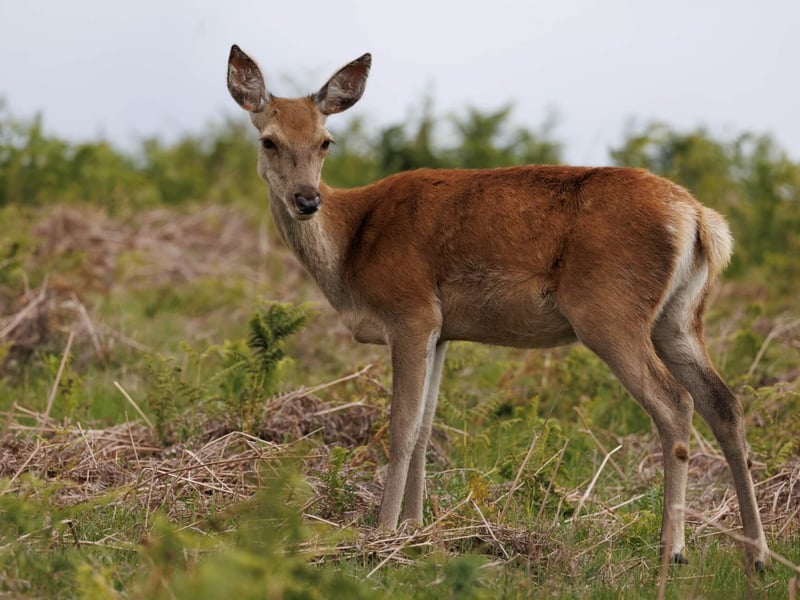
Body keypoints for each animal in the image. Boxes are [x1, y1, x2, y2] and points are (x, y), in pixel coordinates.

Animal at [226, 44, 769, 570]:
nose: (306, 199)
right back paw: (756, 555)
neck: (350, 251)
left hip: (610, 311)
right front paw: (416, 529)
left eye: (326, 141)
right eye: (269, 140)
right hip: (679, 319)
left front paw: (381, 534)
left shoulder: (409, 310)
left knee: (675, 402)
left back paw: (672, 550)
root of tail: (699, 219)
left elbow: (401, 426)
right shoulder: (442, 329)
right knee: (725, 402)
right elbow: (426, 428)